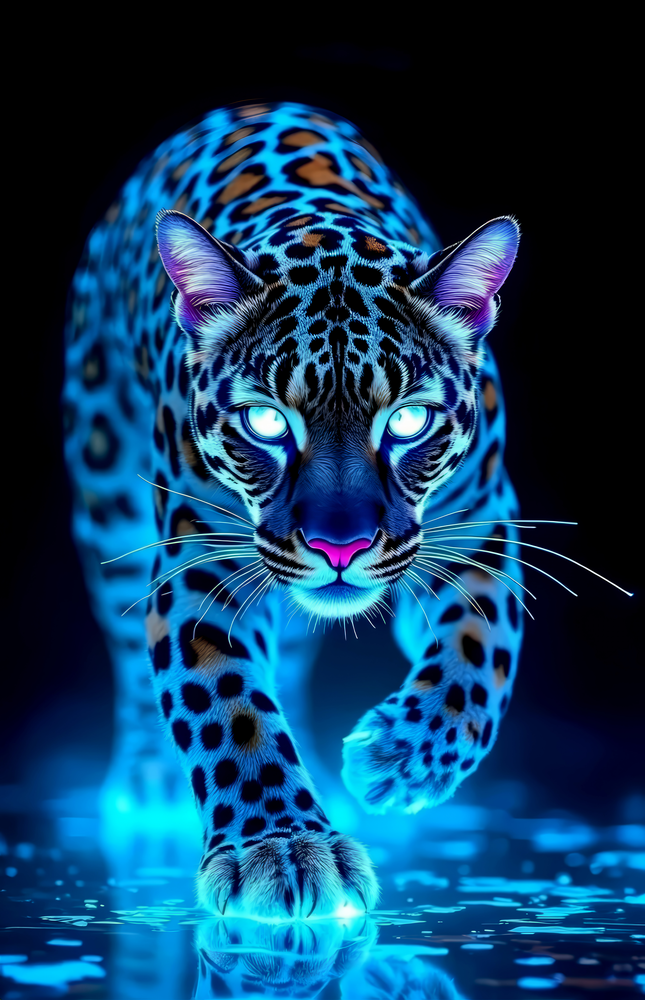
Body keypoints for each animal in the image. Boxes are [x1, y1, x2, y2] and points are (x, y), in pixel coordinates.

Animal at [63, 100, 527, 919]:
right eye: (266, 422)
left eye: (408, 421)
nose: (339, 548)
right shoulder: (200, 564)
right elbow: (227, 703)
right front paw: (279, 848)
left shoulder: (482, 529)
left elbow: (478, 658)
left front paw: (398, 760)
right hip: (105, 488)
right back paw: (149, 784)